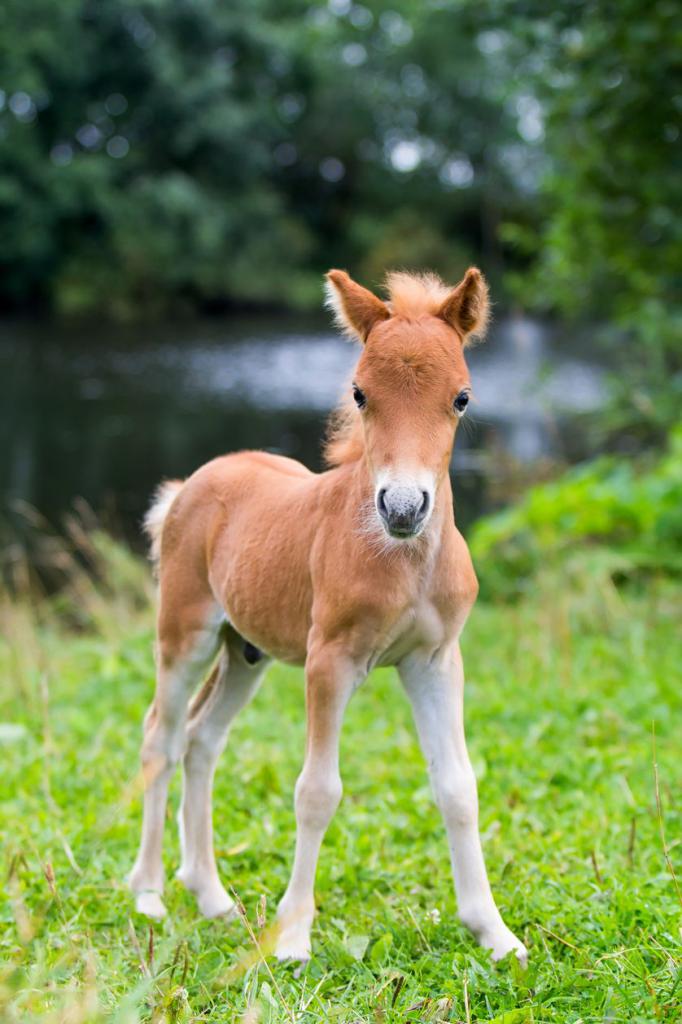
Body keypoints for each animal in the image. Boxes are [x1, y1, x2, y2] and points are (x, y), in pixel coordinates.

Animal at [131, 266, 524, 966]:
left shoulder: (434, 660)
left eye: (462, 398)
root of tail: (189, 487)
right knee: (162, 738)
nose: (403, 507)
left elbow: (458, 786)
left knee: (203, 740)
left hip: (245, 652)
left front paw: (494, 933)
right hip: (185, 634)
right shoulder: (329, 660)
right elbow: (317, 791)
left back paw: (212, 897)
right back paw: (150, 894)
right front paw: (291, 937)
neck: (402, 560)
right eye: (360, 393)